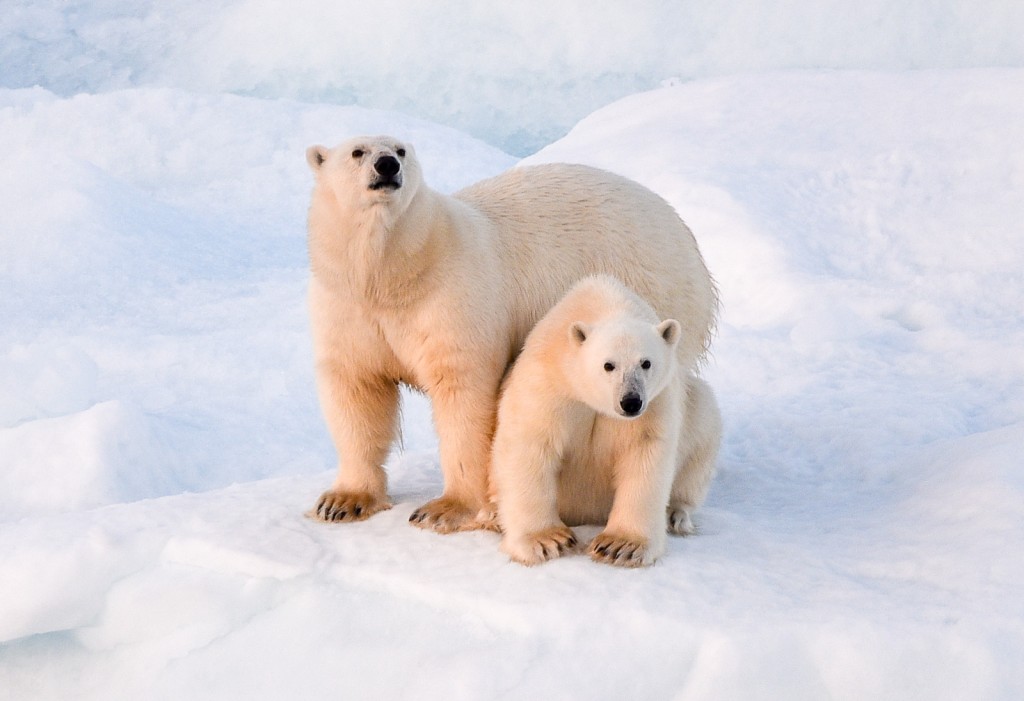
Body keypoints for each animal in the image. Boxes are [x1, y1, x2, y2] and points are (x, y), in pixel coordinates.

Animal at [304, 135, 718, 534]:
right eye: (358, 151)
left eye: (401, 149)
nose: (388, 165)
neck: (396, 273)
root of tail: (684, 232)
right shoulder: (349, 308)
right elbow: (357, 389)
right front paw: (341, 501)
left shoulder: (454, 297)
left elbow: (463, 394)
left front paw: (446, 509)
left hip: (653, 287)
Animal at [490, 275, 721, 567]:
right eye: (608, 365)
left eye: (646, 363)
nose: (631, 401)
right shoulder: (549, 384)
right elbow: (531, 445)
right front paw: (547, 541)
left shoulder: (655, 405)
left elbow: (644, 456)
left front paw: (620, 546)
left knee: (703, 422)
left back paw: (676, 515)